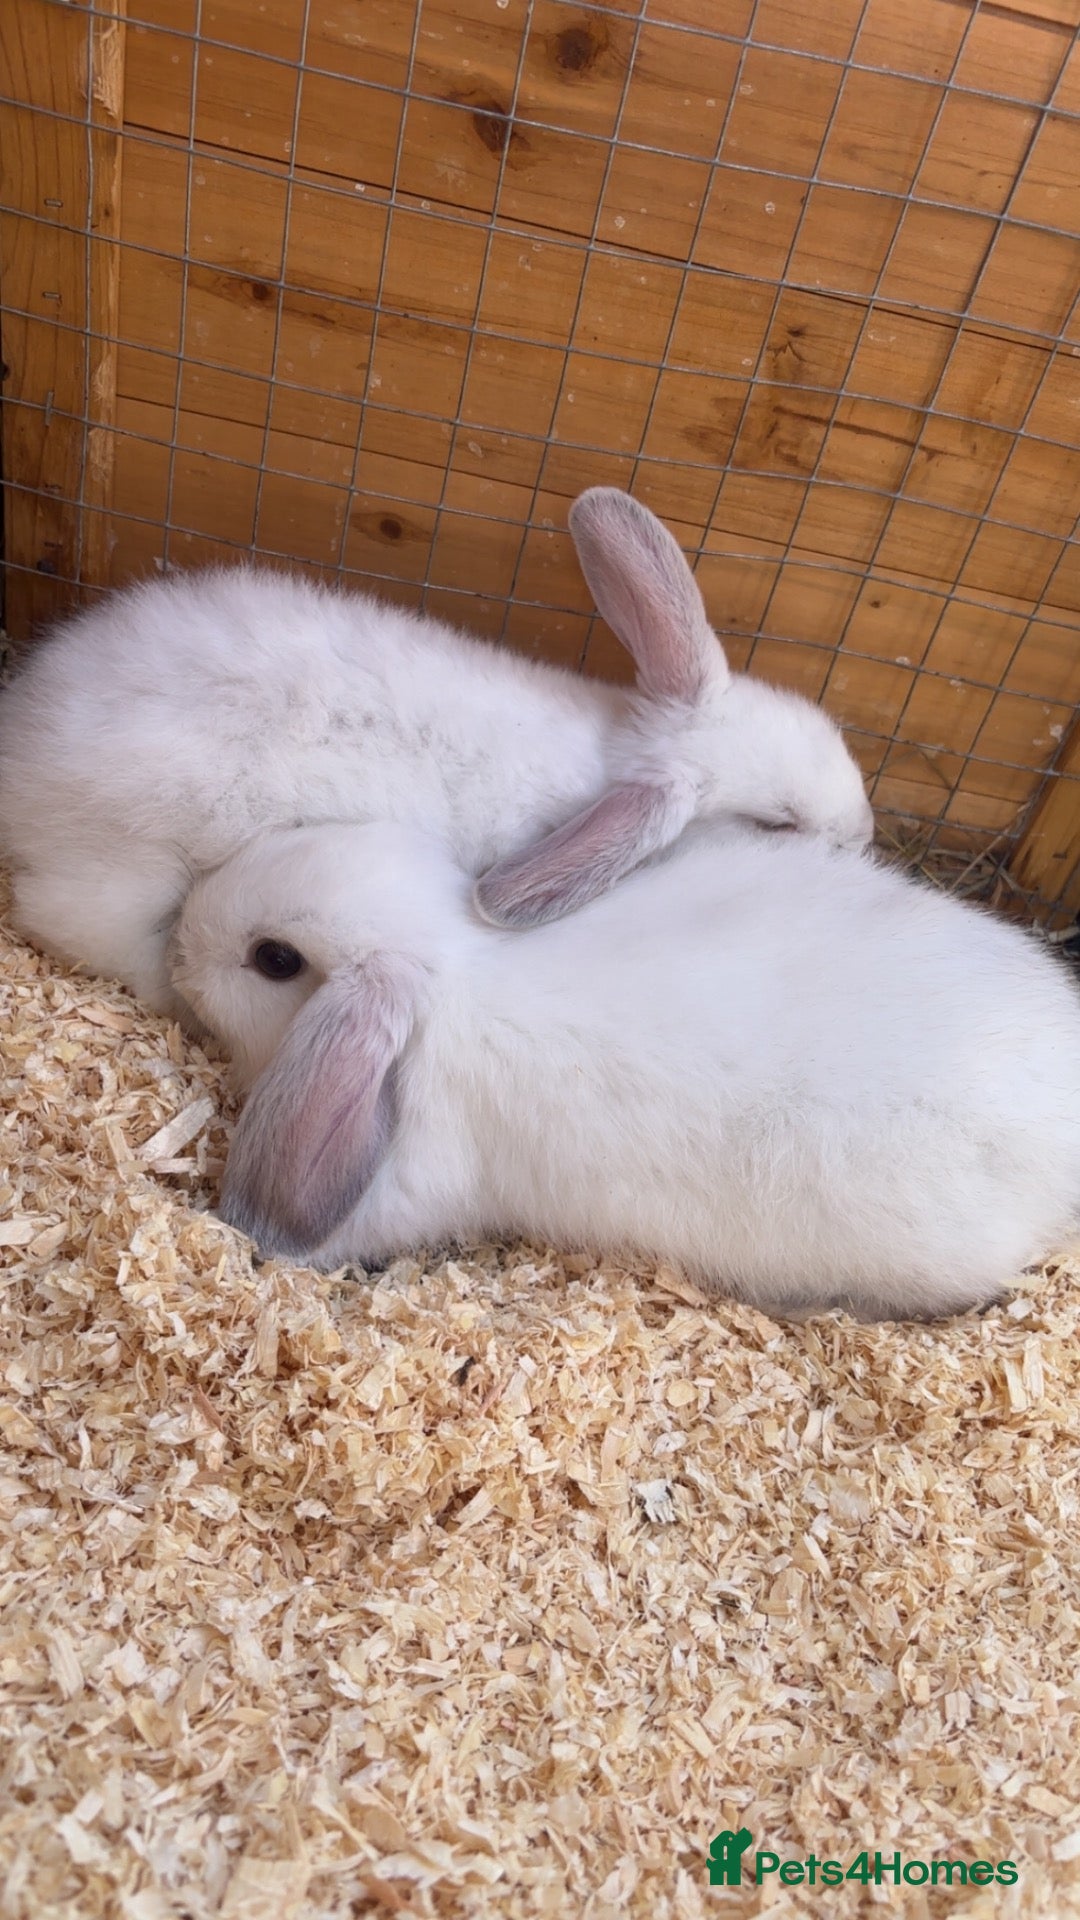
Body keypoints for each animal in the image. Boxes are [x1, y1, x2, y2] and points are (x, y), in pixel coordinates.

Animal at [0, 489, 872, 1024]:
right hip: (132, 860)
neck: (612, 761)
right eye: (779, 824)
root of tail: (24, 746)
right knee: (69, 918)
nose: (865, 834)